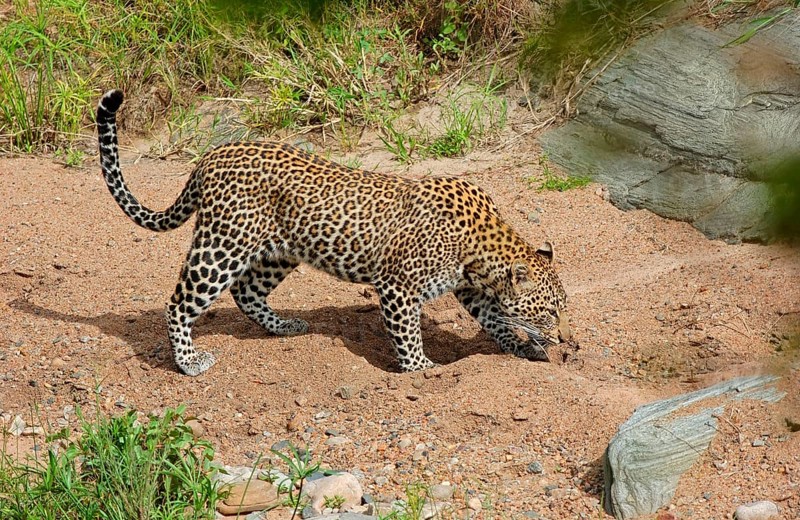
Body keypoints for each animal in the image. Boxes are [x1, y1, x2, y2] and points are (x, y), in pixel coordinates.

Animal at [96, 89, 571, 376]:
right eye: (549, 311)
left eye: (562, 308)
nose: (567, 338)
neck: (482, 247)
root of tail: (210, 156)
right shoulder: (398, 287)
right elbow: (408, 336)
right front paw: (422, 370)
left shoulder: (471, 289)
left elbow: (496, 320)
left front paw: (524, 348)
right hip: (222, 246)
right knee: (180, 302)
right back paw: (189, 361)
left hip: (280, 251)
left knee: (247, 292)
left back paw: (284, 326)